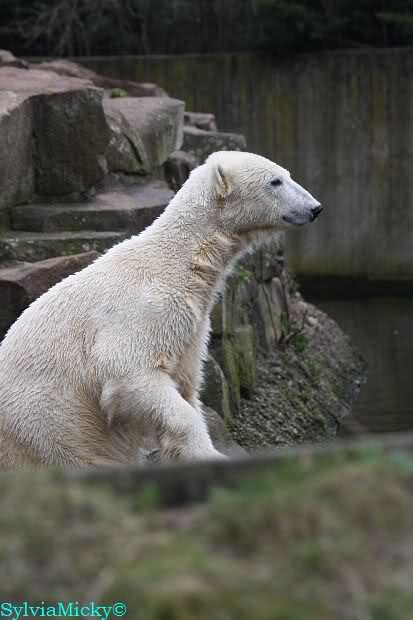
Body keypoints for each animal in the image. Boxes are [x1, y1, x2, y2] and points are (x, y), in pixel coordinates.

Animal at [0, 151, 322, 469]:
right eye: (275, 181)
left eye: (287, 174)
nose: (315, 208)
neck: (181, 261)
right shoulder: (144, 309)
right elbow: (127, 370)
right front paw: (210, 455)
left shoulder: (191, 325)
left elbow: (185, 385)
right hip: (47, 420)